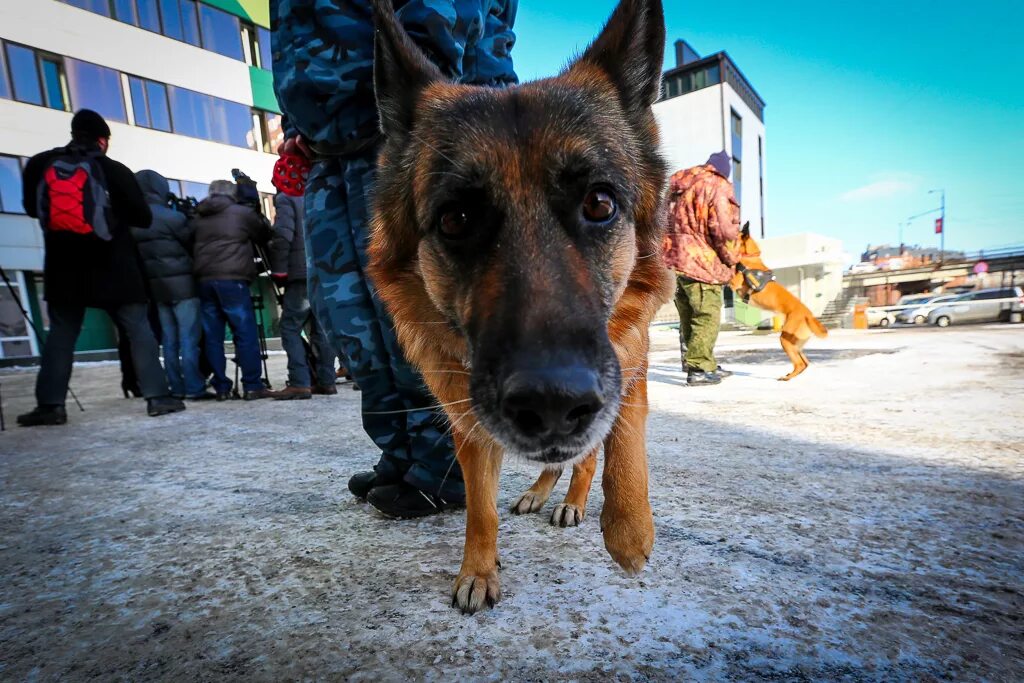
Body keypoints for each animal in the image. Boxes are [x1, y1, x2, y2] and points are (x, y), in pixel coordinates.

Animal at [366, 0, 671, 610]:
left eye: (599, 203)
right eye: (456, 219)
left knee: (590, 454)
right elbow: (478, 507)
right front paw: (478, 569)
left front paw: (629, 528)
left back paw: (575, 501)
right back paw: (541, 490)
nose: (554, 405)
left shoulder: (633, 351)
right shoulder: (466, 420)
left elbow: (622, 440)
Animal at [729, 227, 831, 382]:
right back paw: (789, 375)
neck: (751, 256)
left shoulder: (733, 282)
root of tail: (809, 315)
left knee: (800, 364)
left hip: (785, 340)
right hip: (795, 344)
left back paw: (786, 378)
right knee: (805, 363)